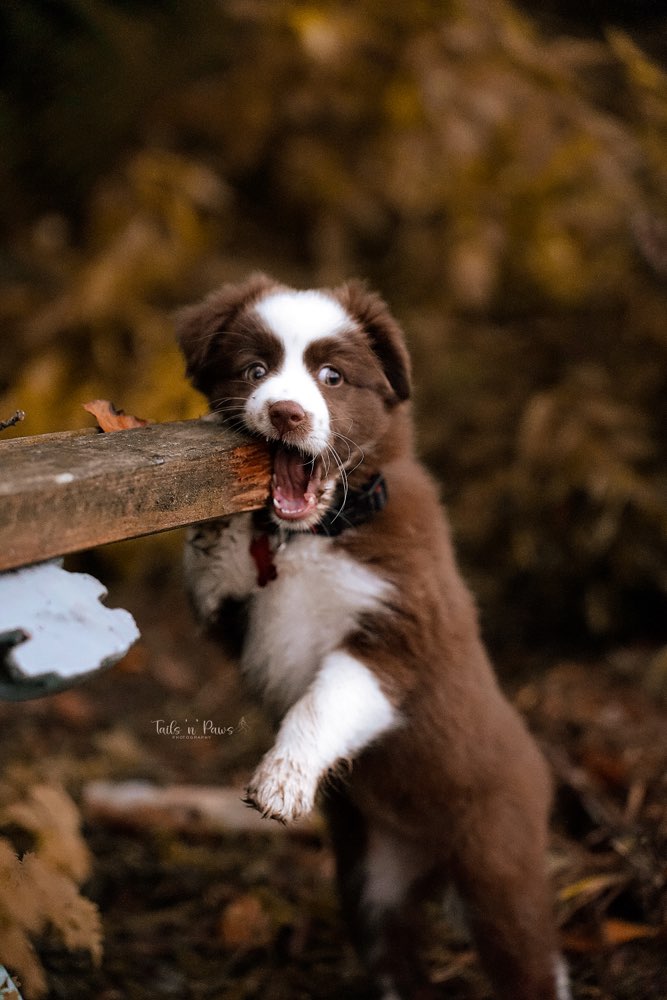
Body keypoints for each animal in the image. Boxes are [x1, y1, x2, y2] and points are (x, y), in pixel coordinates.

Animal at [176, 274, 568, 1000]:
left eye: (332, 377)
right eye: (254, 370)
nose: (286, 414)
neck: (312, 535)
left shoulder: (397, 633)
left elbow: (324, 701)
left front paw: (283, 779)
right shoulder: (233, 624)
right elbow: (214, 573)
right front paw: (216, 529)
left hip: (497, 862)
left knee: (533, 962)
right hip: (371, 879)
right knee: (395, 959)